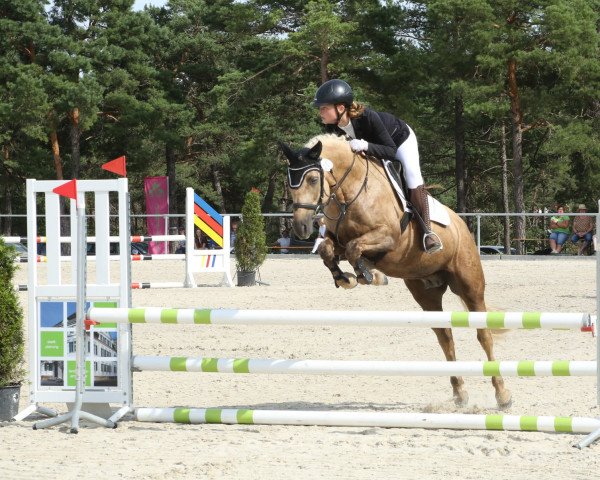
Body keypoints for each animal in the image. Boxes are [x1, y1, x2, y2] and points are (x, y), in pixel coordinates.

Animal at [280, 134, 510, 408]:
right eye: (289, 183)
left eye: (313, 180)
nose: (301, 227)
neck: (351, 191)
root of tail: (461, 226)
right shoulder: (338, 241)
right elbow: (329, 250)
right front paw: (347, 278)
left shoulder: (387, 237)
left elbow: (355, 249)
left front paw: (370, 275)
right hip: (425, 292)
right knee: (444, 336)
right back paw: (460, 393)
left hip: (469, 285)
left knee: (483, 335)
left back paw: (503, 395)